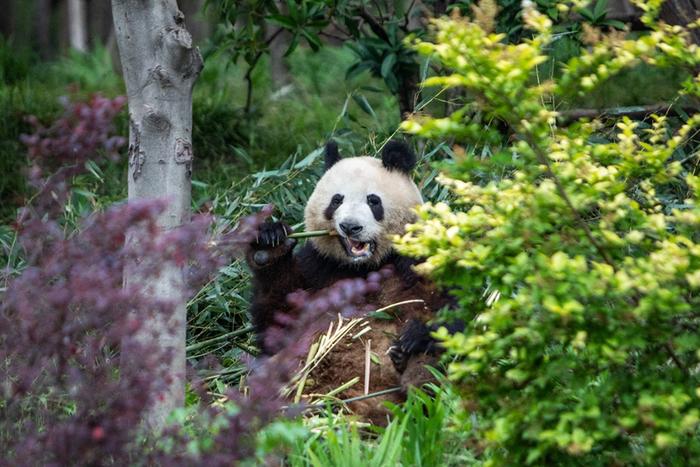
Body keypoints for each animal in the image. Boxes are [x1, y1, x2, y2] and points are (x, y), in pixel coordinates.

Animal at [246, 141, 454, 422]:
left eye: (373, 200)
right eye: (337, 200)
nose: (350, 226)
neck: (366, 267)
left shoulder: (422, 257)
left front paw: (415, 335)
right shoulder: (320, 267)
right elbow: (279, 323)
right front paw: (269, 244)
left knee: (431, 369)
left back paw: (412, 378)